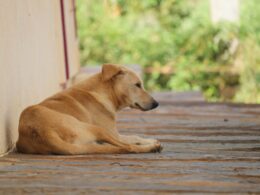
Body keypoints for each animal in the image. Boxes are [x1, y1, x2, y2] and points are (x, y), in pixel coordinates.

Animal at [16, 64, 162, 155]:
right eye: (137, 85)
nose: (156, 104)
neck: (103, 92)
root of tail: (44, 133)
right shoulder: (113, 133)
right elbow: (131, 139)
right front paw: (151, 142)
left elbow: (133, 136)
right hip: (96, 129)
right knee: (126, 148)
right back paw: (152, 148)